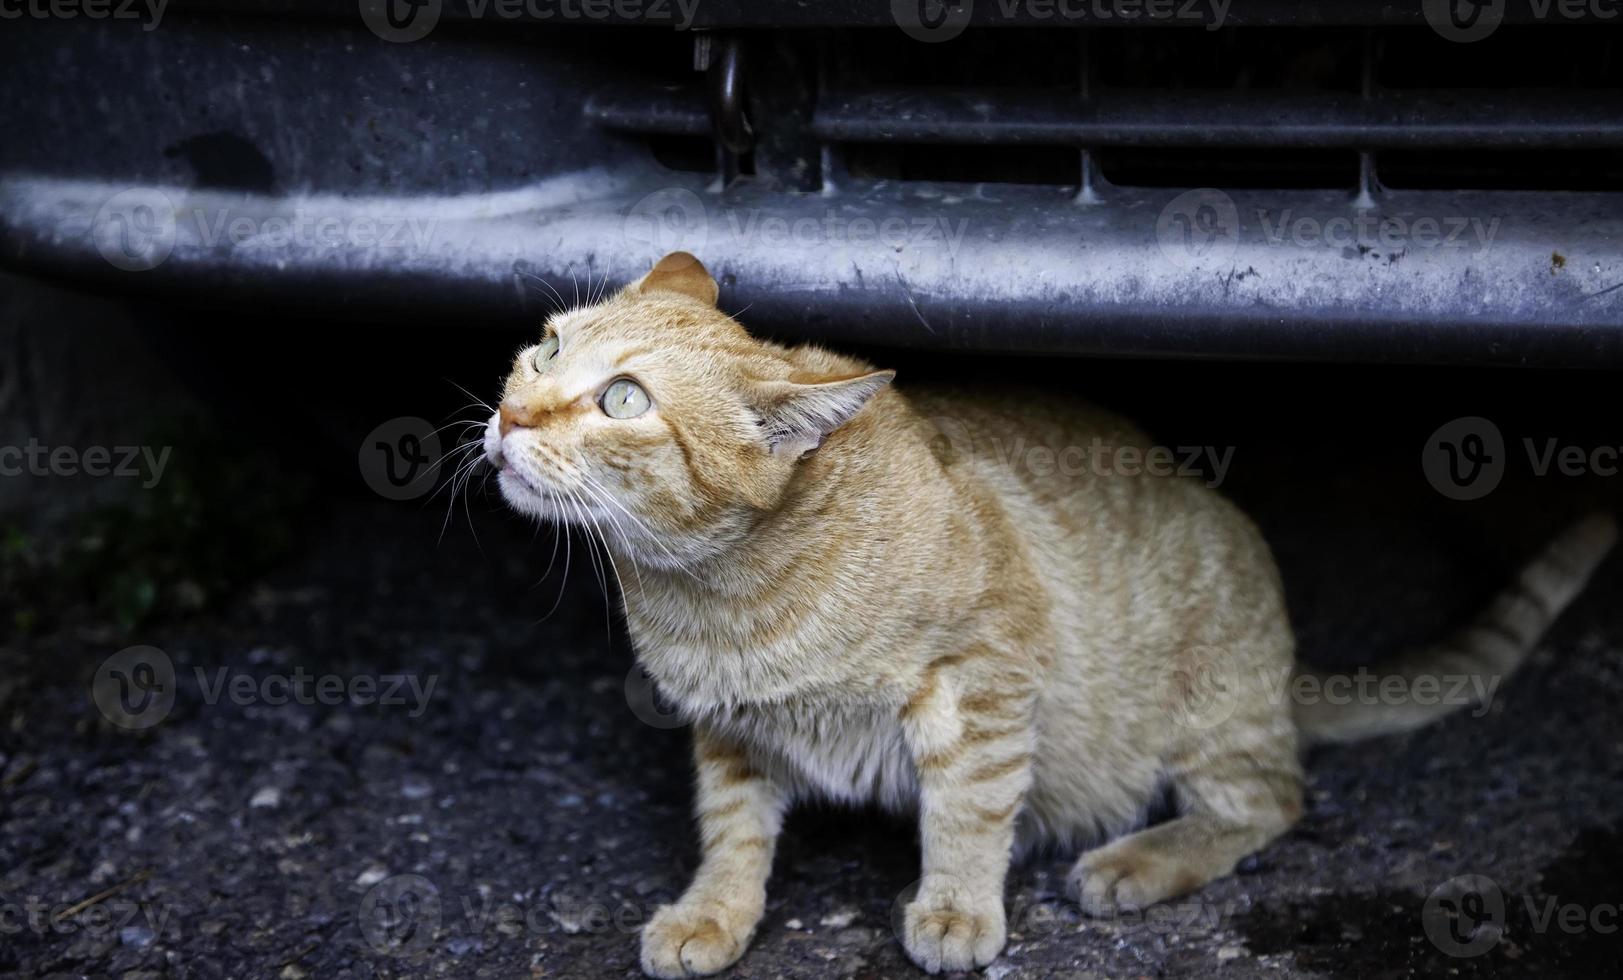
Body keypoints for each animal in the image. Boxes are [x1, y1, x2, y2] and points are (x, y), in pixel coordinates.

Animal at [480, 251, 1610, 973]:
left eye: (623, 399)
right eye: (543, 349)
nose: (508, 414)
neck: (714, 595)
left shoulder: (983, 680)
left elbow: (968, 811)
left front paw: (955, 909)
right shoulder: (728, 731)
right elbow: (731, 832)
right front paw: (713, 913)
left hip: (1205, 712)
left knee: (1266, 801)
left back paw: (1135, 861)